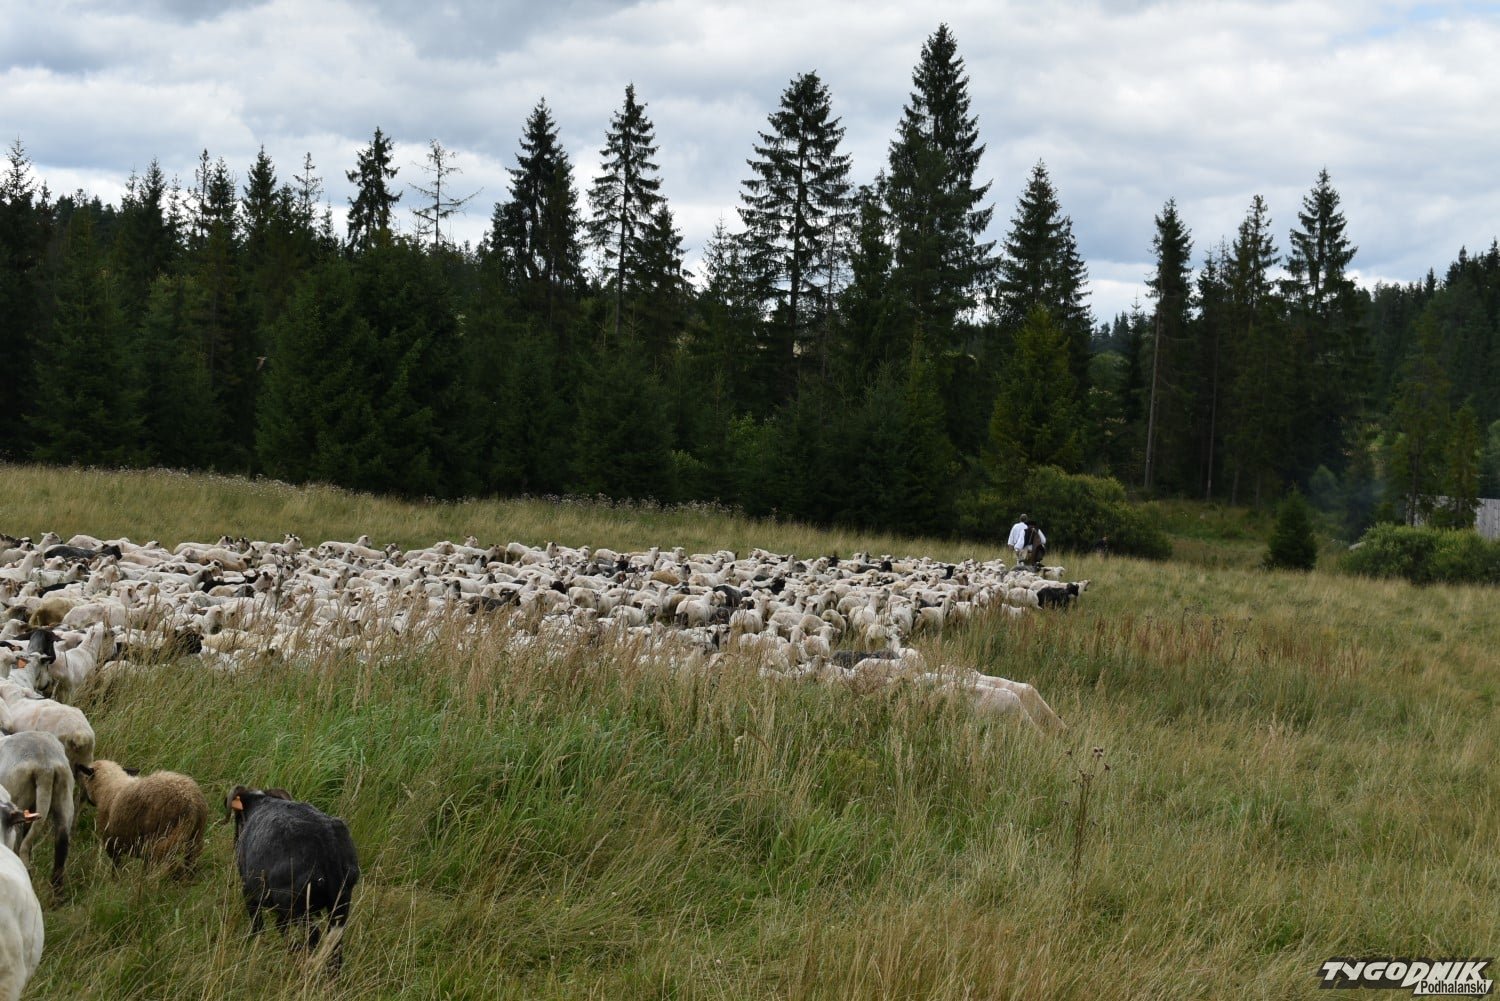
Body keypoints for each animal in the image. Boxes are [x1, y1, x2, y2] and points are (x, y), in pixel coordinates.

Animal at [76, 760, 209, 876]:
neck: (107, 787)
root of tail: (191, 802)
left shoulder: (112, 843)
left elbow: (116, 868)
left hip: (162, 836)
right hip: (195, 837)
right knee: (190, 864)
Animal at [228, 786, 361, 972]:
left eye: (238, 817)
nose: (235, 841)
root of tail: (329, 846)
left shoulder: (250, 892)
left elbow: (258, 925)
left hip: (294, 903)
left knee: (312, 934)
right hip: (340, 901)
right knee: (334, 945)